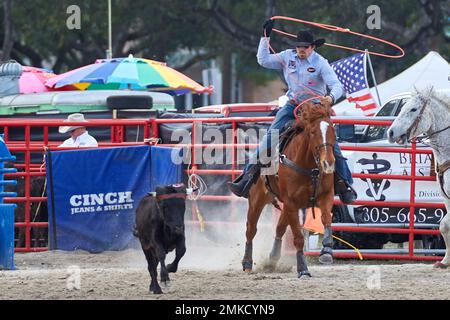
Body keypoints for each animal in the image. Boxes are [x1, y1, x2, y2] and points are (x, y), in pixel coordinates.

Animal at [243, 102, 334, 278]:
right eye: (313, 132)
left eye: (333, 130)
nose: (328, 163)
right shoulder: (292, 203)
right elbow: (298, 237)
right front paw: (303, 269)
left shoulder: (326, 196)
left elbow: (326, 219)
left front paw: (326, 250)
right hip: (257, 200)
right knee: (251, 230)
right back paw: (247, 263)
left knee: (279, 228)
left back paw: (272, 258)